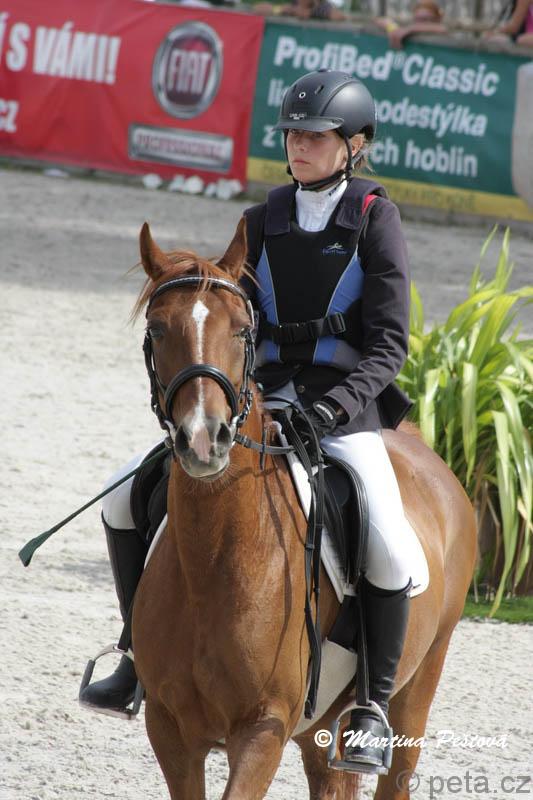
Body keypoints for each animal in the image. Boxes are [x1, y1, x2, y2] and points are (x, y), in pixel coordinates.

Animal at [131, 218, 478, 800]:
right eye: (157, 331)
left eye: (243, 331)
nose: (203, 441)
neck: (215, 564)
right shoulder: (169, 728)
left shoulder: (263, 728)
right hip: (321, 731)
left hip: (416, 687)